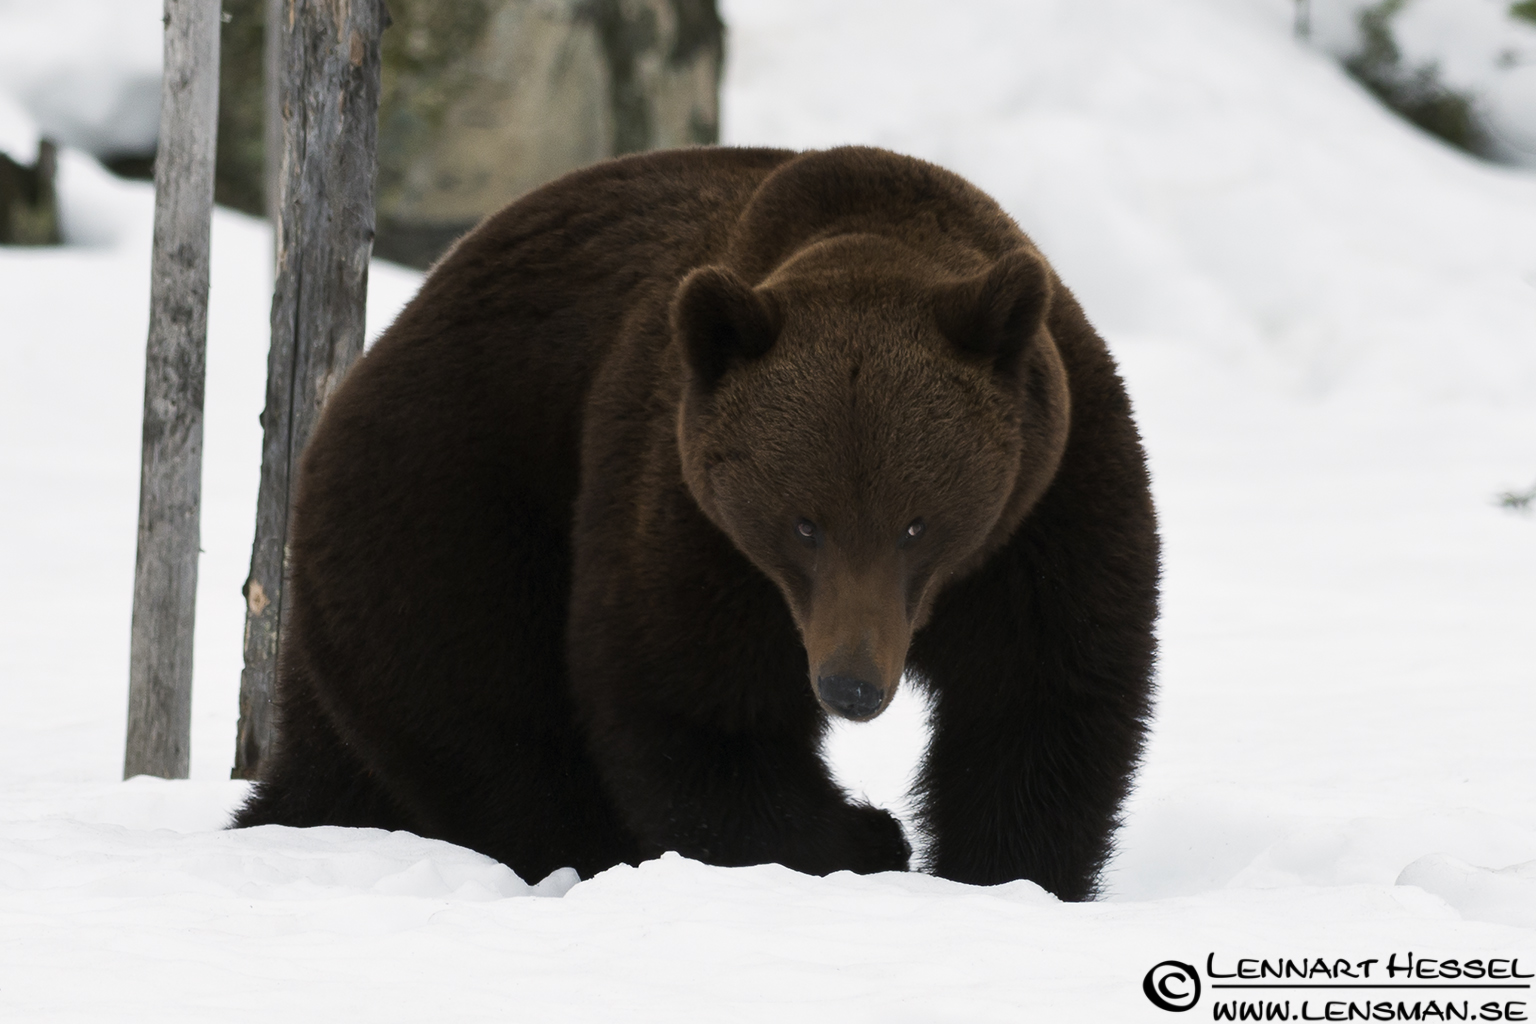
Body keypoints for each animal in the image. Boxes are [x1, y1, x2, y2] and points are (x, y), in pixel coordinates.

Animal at [233, 145, 1160, 902]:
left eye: (916, 524)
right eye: (804, 523)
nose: (852, 686)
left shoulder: (1047, 509)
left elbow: (1044, 702)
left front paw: (1006, 876)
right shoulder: (695, 520)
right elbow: (697, 711)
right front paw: (866, 839)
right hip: (453, 515)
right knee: (495, 725)